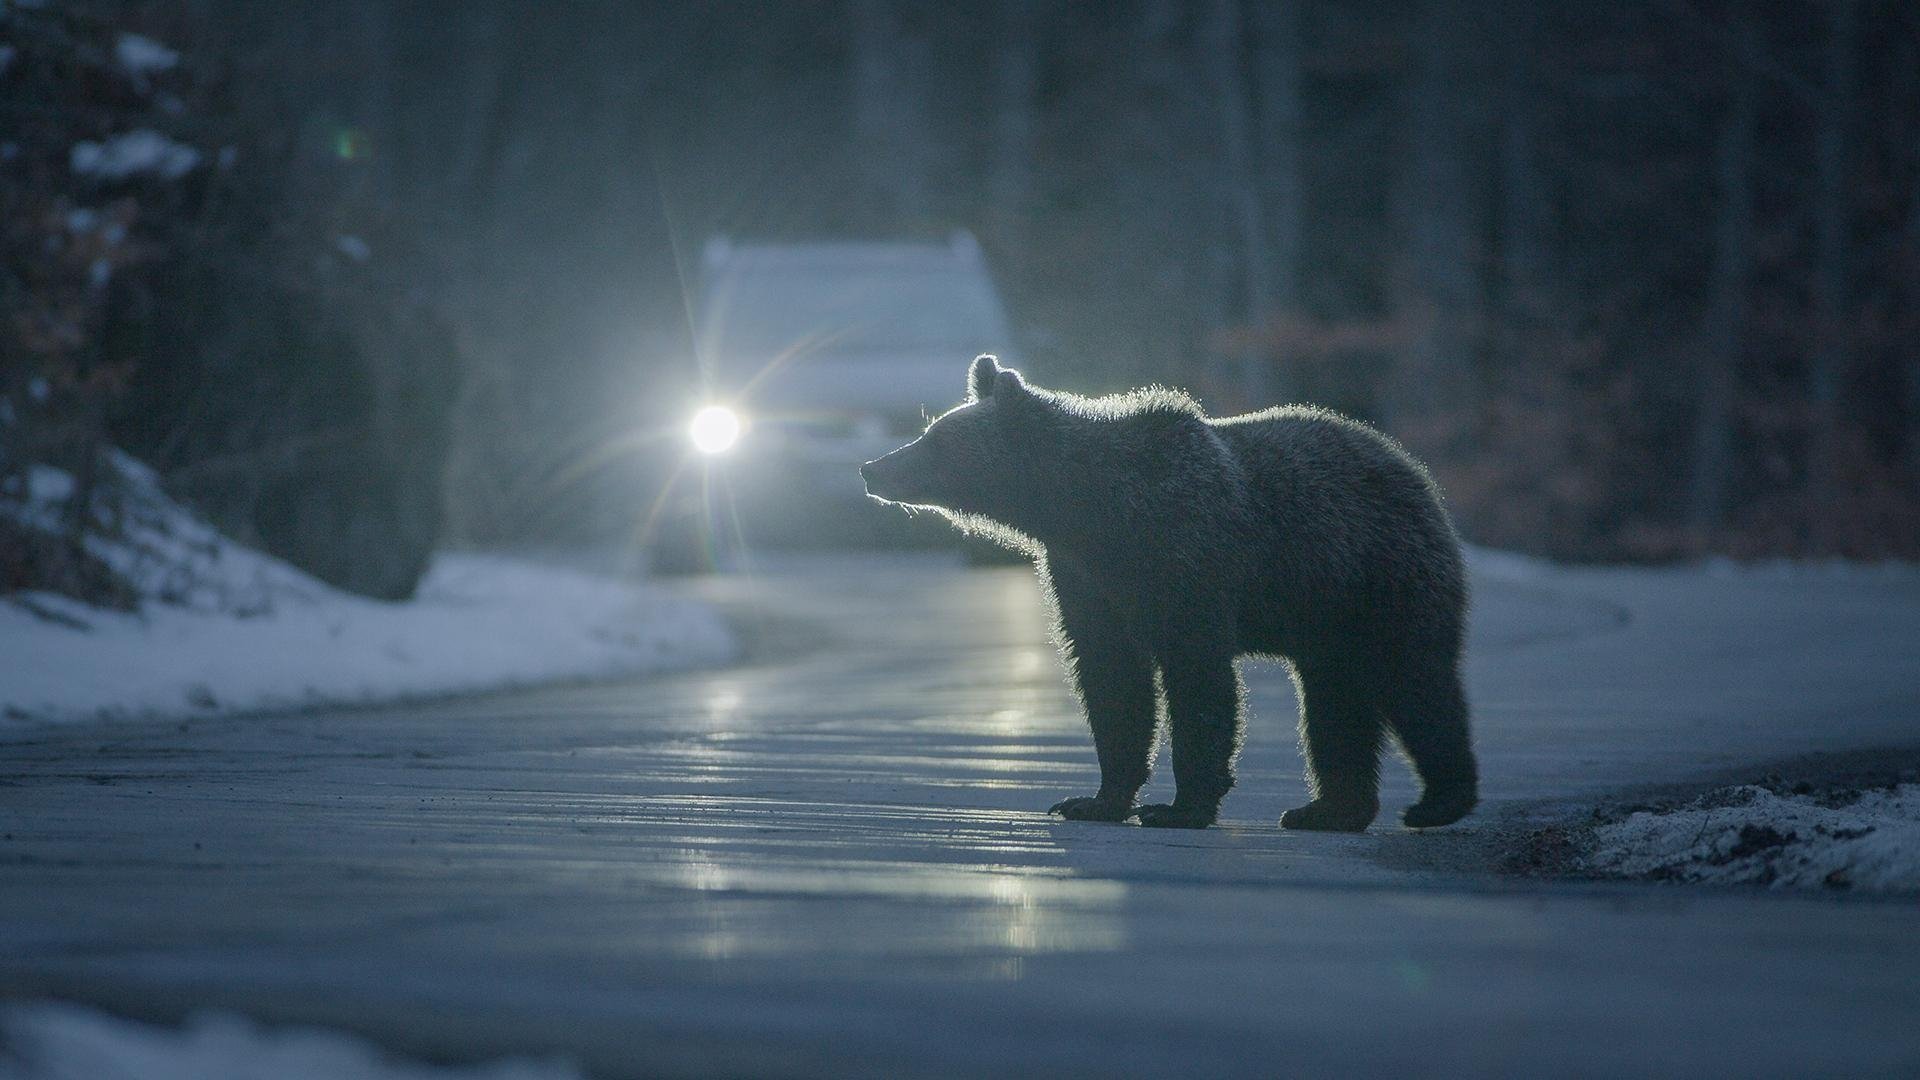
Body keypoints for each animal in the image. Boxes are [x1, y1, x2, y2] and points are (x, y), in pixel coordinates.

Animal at [860, 355, 1476, 831]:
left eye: (935, 438)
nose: (872, 467)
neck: (1089, 510)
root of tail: (1416, 472)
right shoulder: (1085, 576)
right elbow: (1111, 678)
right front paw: (1094, 799)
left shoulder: (1185, 555)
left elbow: (1196, 676)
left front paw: (1179, 806)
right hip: (1330, 620)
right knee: (1334, 705)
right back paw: (1327, 811)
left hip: (1380, 578)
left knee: (1416, 682)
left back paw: (1437, 802)